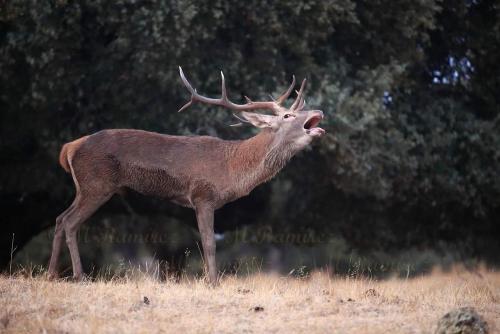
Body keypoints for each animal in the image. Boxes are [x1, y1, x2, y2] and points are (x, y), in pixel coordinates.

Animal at [47, 68, 324, 284]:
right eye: (287, 116)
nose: (319, 111)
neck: (232, 170)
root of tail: (69, 147)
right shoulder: (203, 195)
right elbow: (209, 243)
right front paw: (213, 282)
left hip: (84, 186)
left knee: (60, 218)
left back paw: (51, 274)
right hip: (97, 183)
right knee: (70, 222)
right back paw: (79, 276)